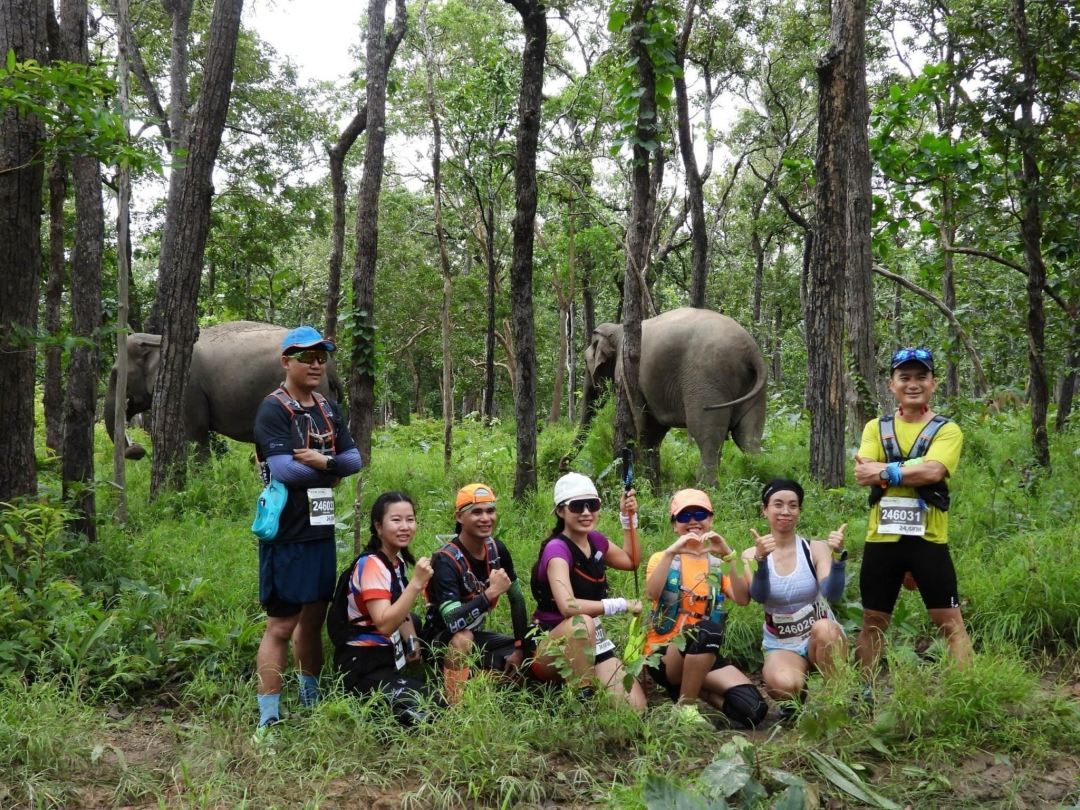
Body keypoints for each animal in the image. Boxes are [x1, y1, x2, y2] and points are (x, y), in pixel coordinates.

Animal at [103, 324, 343, 462]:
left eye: (116, 374)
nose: (136, 451)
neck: (158, 338)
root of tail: (330, 364)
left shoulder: (191, 387)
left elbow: (195, 433)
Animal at [578, 308, 764, 488]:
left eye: (586, 364)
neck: (617, 329)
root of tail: (752, 351)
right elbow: (653, 433)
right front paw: (651, 487)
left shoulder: (626, 373)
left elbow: (640, 423)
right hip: (753, 388)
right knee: (748, 437)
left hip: (709, 383)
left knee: (708, 437)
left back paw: (707, 488)